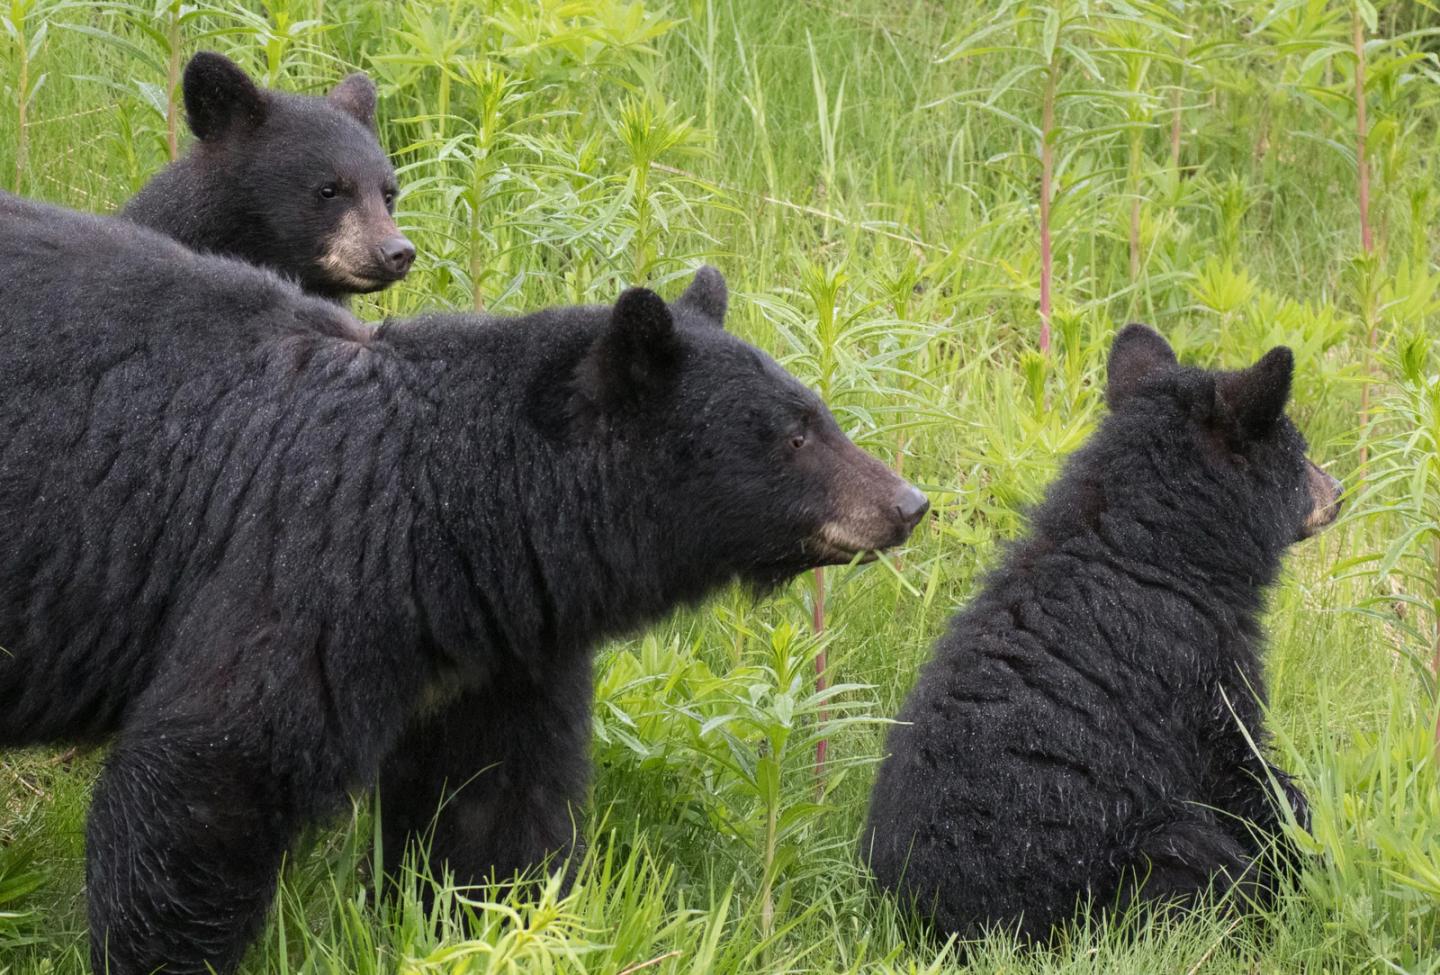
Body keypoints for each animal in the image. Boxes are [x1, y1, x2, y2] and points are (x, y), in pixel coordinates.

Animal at [0, 192, 929, 975]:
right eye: (793, 434)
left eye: (819, 412)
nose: (907, 504)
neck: (457, 511)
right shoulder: (308, 565)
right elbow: (209, 769)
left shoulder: (498, 650)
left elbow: (493, 804)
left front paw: (492, 926)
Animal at [862, 324, 1341, 944]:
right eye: (1300, 454)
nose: (1340, 490)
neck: (1143, 551)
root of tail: (945, 929)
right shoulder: (1195, 671)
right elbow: (1245, 774)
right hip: (1142, 861)